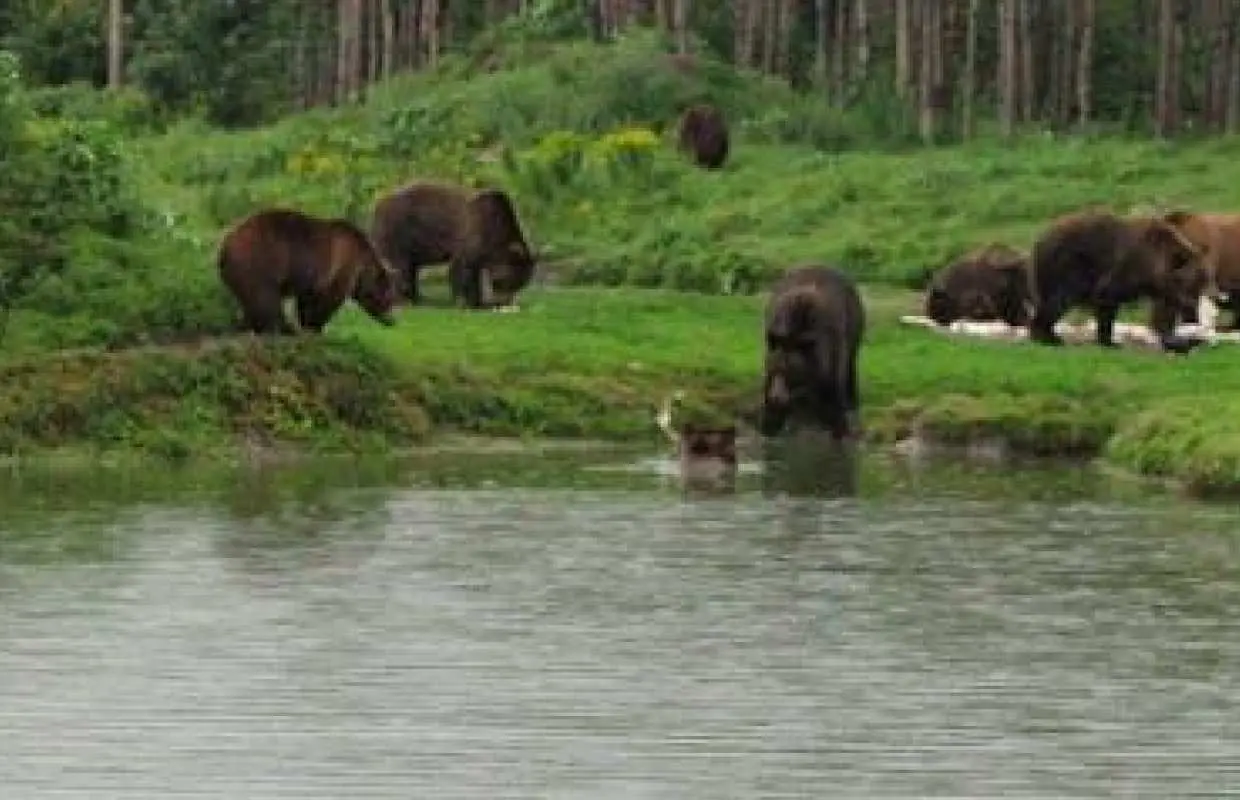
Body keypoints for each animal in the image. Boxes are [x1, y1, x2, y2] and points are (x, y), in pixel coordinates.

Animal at [217, 208, 398, 335]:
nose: (393, 321)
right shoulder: (343, 263)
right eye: (390, 297)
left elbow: (306, 299)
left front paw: (307, 323)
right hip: (261, 258)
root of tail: (225, 244)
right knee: (265, 298)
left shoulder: (311, 278)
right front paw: (316, 326)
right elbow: (330, 298)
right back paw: (284, 328)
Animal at [369, 181, 537, 309]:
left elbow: (475, 271)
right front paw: (468, 302)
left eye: (521, 284)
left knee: (411, 267)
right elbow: (462, 267)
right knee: (400, 265)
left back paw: (418, 297)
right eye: (510, 282)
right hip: (399, 229)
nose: (505, 302)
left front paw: (479, 301)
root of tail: (378, 203)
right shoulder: (472, 233)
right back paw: (404, 299)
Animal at [760, 265, 866, 440]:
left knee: (852, 361)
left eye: (792, 372)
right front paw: (770, 423)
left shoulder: (832, 344)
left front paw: (839, 426)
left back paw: (852, 400)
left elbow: (833, 387)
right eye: (775, 369)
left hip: (855, 325)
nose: (777, 397)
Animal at [1026, 209, 1211, 353]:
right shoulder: (1123, 270)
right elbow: (1107, 301)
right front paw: (1110, 341)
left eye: (1201, 285)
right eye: (1192, 285)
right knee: (1058, 300)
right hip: (1067, 267)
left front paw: (1178, 341)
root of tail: (1040, 240)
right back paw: (1050, 338)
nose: (1192, 314)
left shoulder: (1161, 289)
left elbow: (1162, 314)